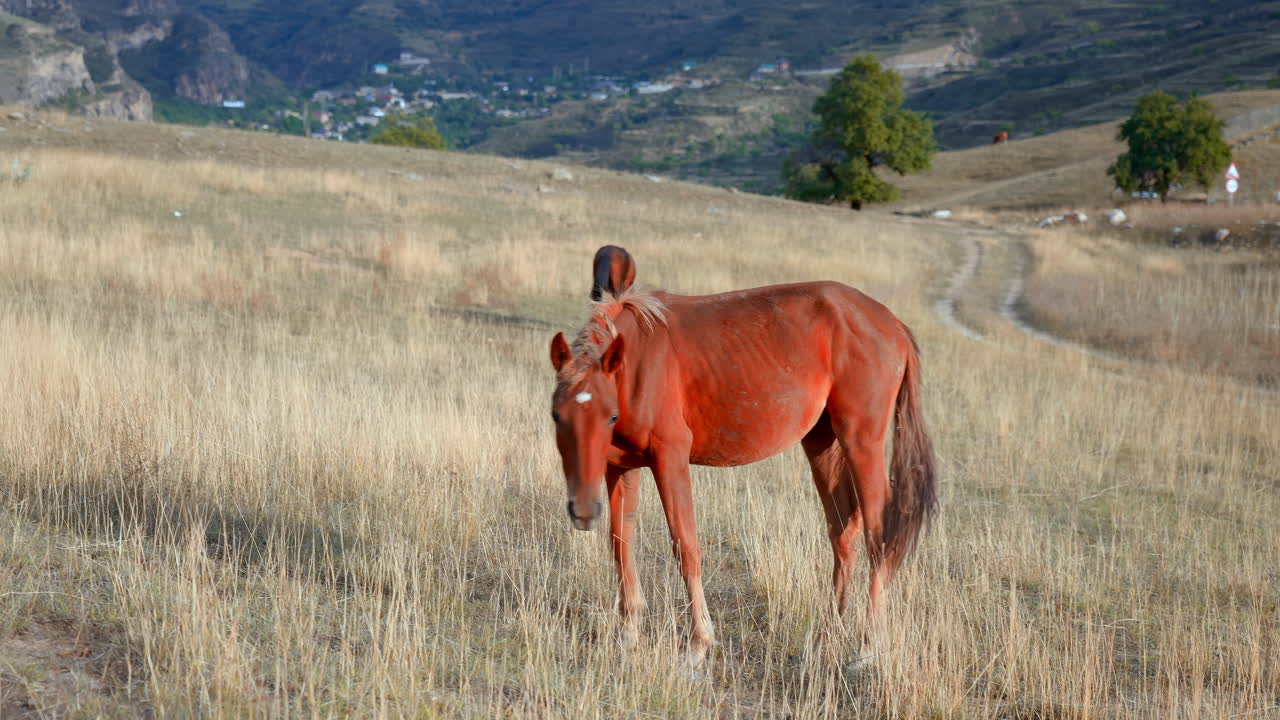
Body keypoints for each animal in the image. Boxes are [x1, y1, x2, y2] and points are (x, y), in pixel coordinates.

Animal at [548, 245, 937, 665]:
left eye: (610, 416)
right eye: (556, 415)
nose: (582, 511)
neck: (636, 363)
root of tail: (892, 323)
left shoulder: (670, 458)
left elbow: (686, 545)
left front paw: (698, 644)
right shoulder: (619, 468)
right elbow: (621, 544)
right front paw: (628, 634)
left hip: (861, 443)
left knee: (878, 535)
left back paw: (867, 648)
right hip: (822, 444)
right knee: (842, 531)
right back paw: (825, 638)